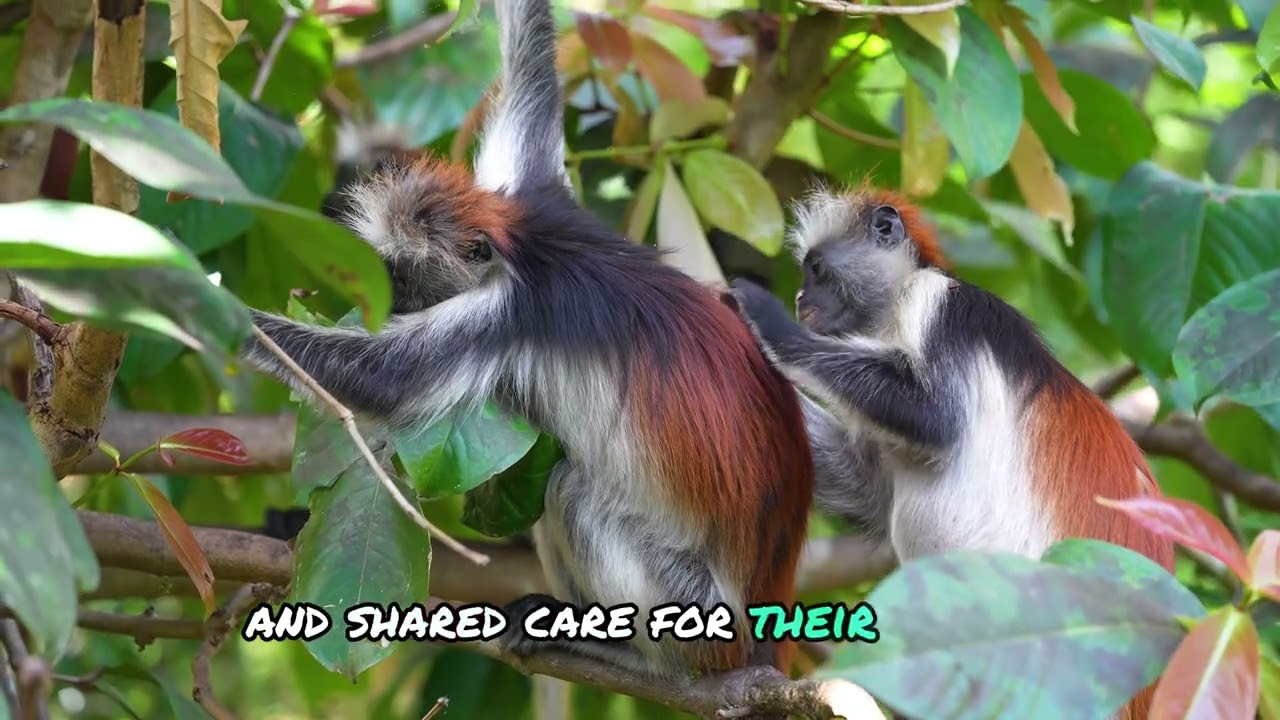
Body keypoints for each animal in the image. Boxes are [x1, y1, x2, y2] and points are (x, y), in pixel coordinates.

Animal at [240, 0, 814, 679]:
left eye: (403, 278)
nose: (394, 306)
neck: (520, 250)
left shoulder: (506, 313)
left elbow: (383, 382)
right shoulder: (533, 196)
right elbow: (532, 73)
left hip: (701, 610)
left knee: (571, 490)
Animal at [724, 187, 1173, 718]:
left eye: (815, 269)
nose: (798, 298)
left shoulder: (939, 304)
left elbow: (933, 417)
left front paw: (764, 317)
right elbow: (867, 485)